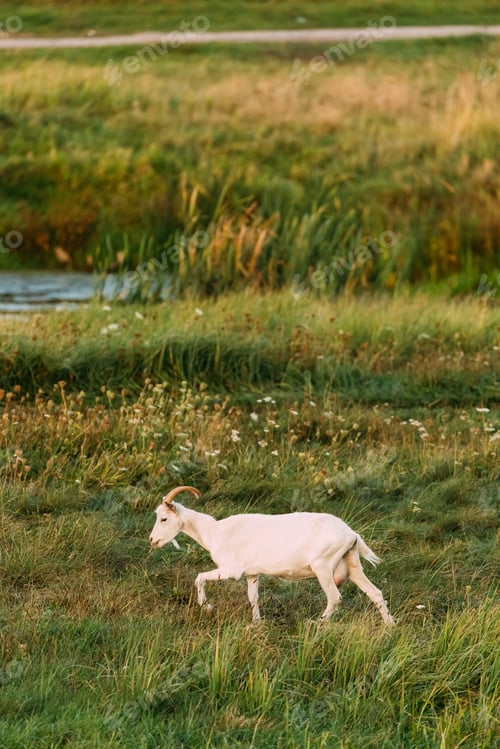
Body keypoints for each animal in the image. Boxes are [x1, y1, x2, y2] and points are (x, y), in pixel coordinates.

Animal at [149, 485, 394, 625]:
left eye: (163, 518)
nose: (152, 540)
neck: (214, 531)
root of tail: (351, 534)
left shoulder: (231, 570)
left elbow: (199, 577)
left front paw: (206, 607)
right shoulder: (251, 573)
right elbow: (253, 597)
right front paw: (256, 623)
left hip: (323, 566)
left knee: (335, 598)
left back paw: (318, 624)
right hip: (352, 565)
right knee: (376, 593)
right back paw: (390, 626)